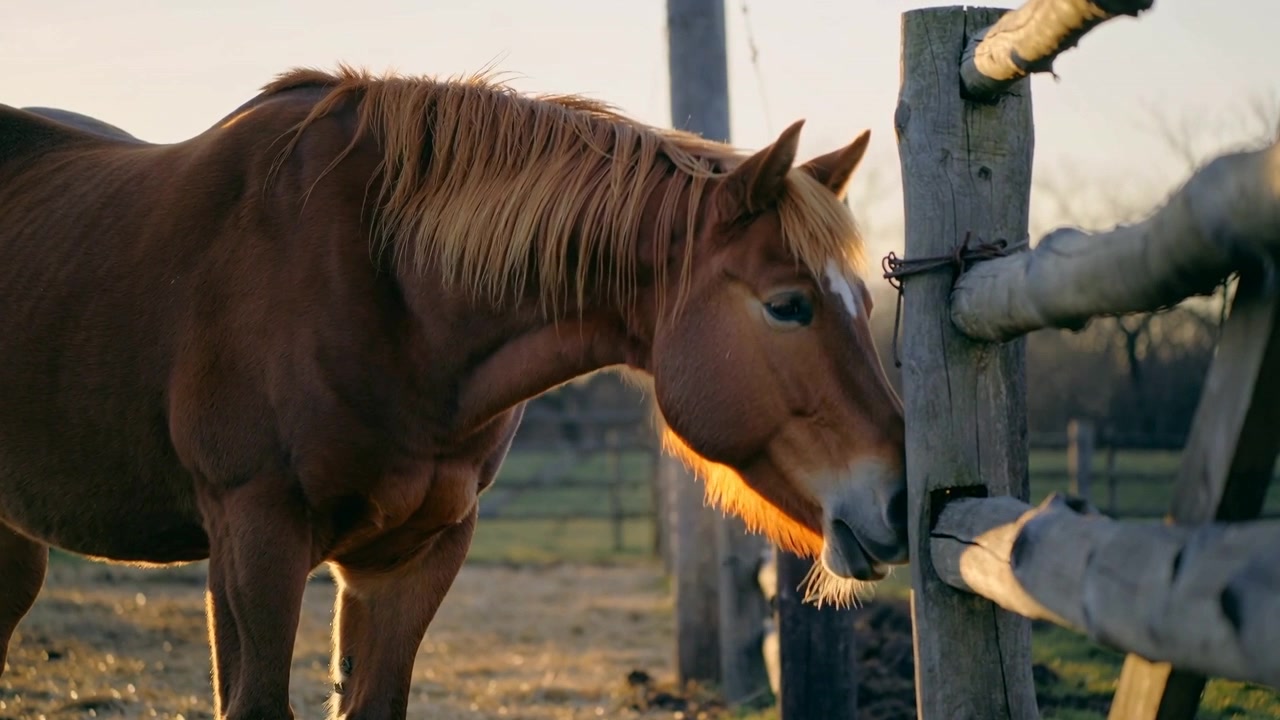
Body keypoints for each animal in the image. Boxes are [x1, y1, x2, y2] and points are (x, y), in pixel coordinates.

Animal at [0, 66, 907, 719]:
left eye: (866, 304)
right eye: (789, 305)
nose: (903, 498)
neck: (384, 294)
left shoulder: (413, 555)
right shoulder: (254, 539)